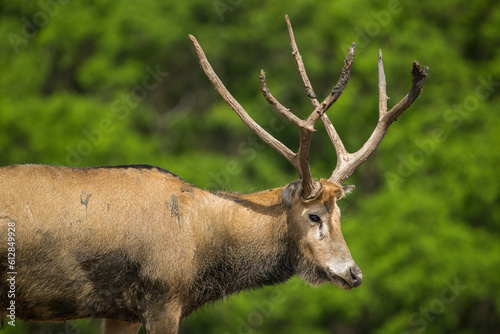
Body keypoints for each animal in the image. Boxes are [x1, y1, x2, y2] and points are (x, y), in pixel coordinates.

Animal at [0, 15, 430, 334]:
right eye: (314, 215)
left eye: (340, 214)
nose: (354, 273)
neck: (201, 252)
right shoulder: (162, 296)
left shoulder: (119, 311)